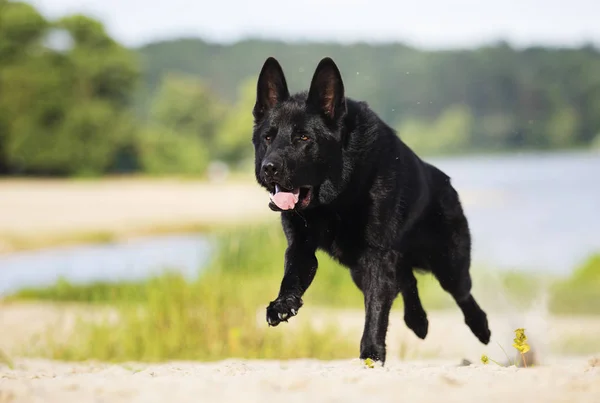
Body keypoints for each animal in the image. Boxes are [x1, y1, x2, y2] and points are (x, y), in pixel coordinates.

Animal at [251, 56, 490, 362]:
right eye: (268, 137)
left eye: (303, 138)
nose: (269, 168)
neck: (335, 199)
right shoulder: (301, 248)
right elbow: (291, 276)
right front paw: (283, 304)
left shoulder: (377, 256)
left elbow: (376, 310)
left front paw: (372, 354)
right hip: (361, 269)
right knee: (407, 281)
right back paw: (418, 321)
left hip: (449, 265)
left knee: (461, 294)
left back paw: (481, 327)